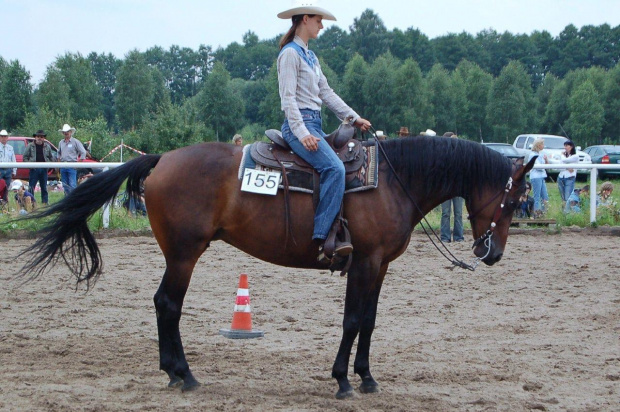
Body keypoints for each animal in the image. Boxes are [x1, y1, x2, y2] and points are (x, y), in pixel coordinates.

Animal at [17, 136, 536, 400]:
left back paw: (176, 373)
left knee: (165, 305)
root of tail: (161, 159)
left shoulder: (380, 266)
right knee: (167, 304)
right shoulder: (364, 262)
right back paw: (183, 374)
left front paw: (367, 377)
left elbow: (369, 321)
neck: (392, 179)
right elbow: (352, 320)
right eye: (513, 201)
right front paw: (342, 381)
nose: (492, 254)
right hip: (184, 253)